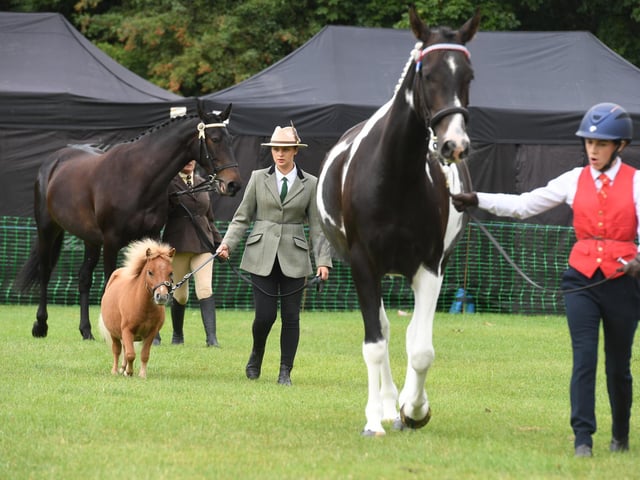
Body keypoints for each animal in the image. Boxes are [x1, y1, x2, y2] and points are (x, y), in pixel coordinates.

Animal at [16, 101, 242, 340]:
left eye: (229, 139)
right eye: (214, 139)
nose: (234, 184)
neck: (137, 177)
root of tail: (53, 161)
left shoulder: (151, 235)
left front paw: (155, 336)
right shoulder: (111, 242)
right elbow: (111, 282)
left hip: (90, 239)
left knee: (84, 278)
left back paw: (86, 330)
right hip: (47, 229)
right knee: (45, 272)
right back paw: (41, 325)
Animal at [98, 238, 175, 378]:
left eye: (170, 273)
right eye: (150, 272)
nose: (161, 296)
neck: (143, 306)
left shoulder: (151, 333)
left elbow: (144, 355)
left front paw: (142, 374)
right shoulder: (127, 331)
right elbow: (130, 354)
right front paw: (129, 372)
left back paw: (122, 369)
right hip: (114, 333)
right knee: (117, 350)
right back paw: (115, 371)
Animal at [316, 6, 480, 436]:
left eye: (468, 76)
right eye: (428, 74)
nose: (454, 144)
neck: (395, 175)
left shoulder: (430, 267)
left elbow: (421, 349)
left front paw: (415, 409)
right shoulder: (363, 265)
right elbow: (375, 344)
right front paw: (376, 418)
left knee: (406, 334)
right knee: (384, 331)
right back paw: (385, 406)